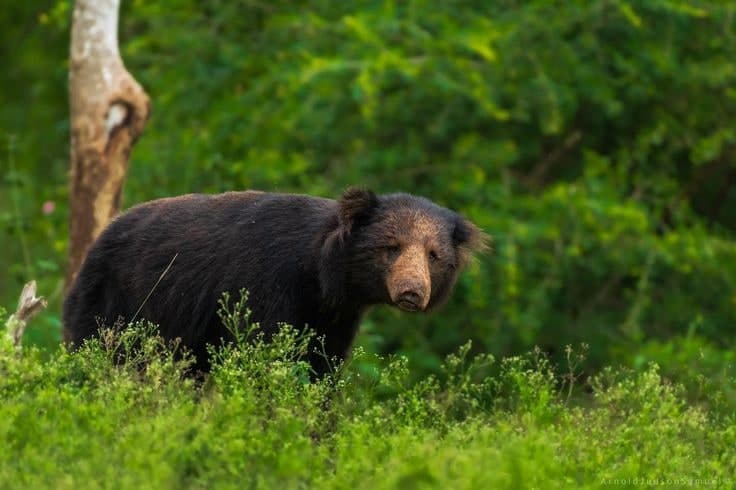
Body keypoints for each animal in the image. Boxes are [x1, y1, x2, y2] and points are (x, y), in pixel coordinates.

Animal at [63, 188, 488, 376]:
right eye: (392, 247)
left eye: (433, 255)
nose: (413, 292)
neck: (323, 282)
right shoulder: (267, 286)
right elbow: (269, 354)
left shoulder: (336, 319)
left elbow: (322, 368)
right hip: (116, 302)